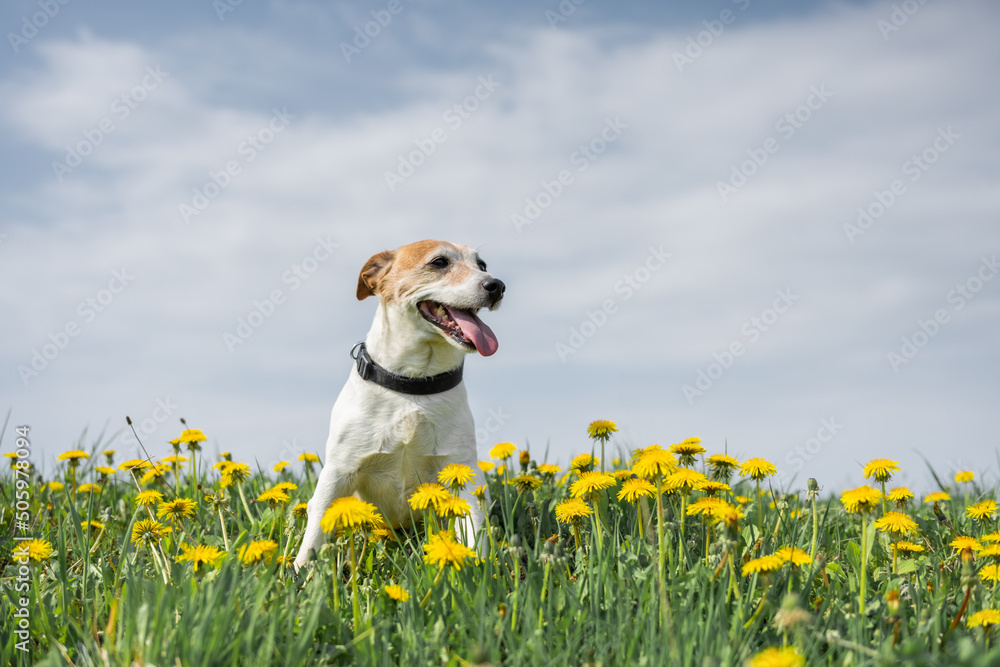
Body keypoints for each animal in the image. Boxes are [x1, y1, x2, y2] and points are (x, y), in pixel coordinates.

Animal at [292, 240, 504, 568]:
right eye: (439, 262)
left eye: (482, 265)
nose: (497, 285)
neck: (413, 385)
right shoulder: (338, 471)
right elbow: (314, 534)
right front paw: (302, 573)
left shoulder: (461, 470)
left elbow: (475, 531)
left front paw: (480, 568)